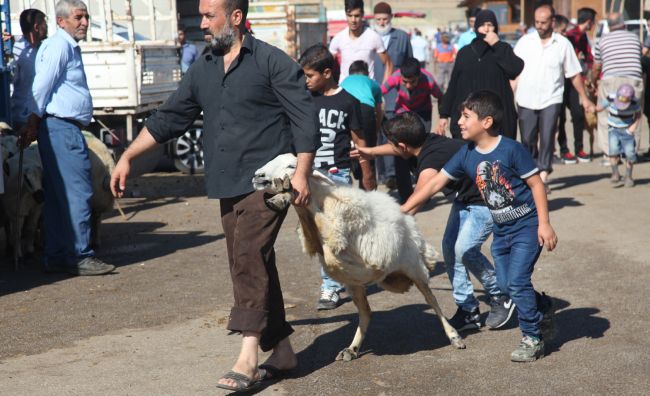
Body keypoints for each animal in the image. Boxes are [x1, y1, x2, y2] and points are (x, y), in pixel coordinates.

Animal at [251, 152, 464, 362]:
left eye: (292, 166)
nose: (258, 176)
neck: (325, 198)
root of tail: (411, 226)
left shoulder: (338, 237)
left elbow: (323, 234)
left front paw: (287, 192)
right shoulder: (314, 242)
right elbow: (312, 227)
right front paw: (281, 197)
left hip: (414, 268)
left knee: (432, 301)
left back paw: (454, 336)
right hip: (358, 285)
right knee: (366, 312)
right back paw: (351, 349)